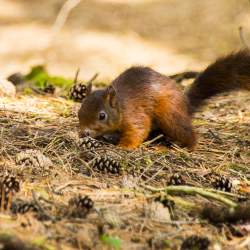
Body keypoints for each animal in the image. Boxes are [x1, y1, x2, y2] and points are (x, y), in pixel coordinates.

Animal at [77, 49, 249, 149]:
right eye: (79, 112)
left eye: (102, 116)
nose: (84, 132)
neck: (120, 106)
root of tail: (186, 105)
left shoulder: (134, 115)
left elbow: (138, 130)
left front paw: (124, 146)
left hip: (169, 114)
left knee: (187, 133)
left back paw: (187, 147)